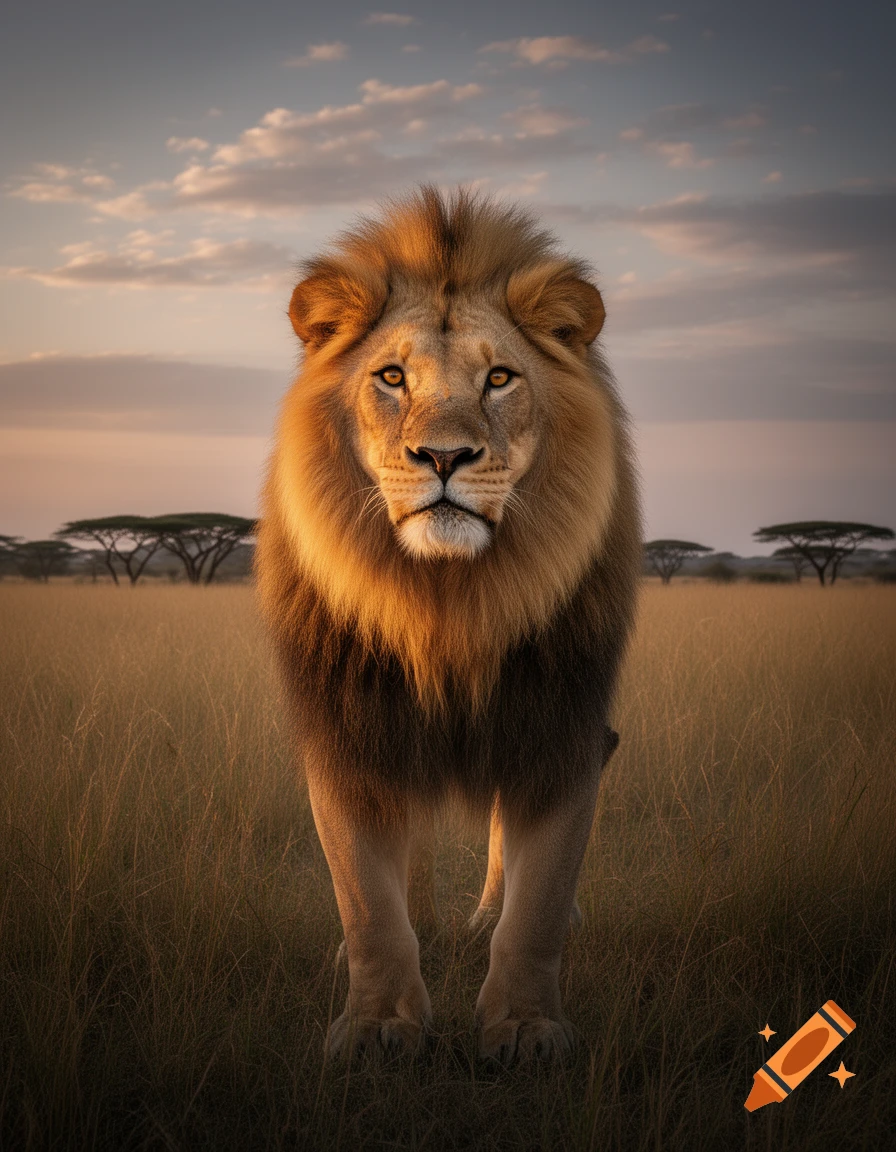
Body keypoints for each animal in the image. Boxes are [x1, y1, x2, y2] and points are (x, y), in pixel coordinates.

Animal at [256, 186, 642, 1064]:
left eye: (499, 378)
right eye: (392, 377)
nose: (442, 457)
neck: (447, 605)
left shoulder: (558, 722)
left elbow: (536, 907)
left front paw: (526, 1028)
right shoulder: (349, 728)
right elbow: (370, 905)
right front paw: (377, 1025)